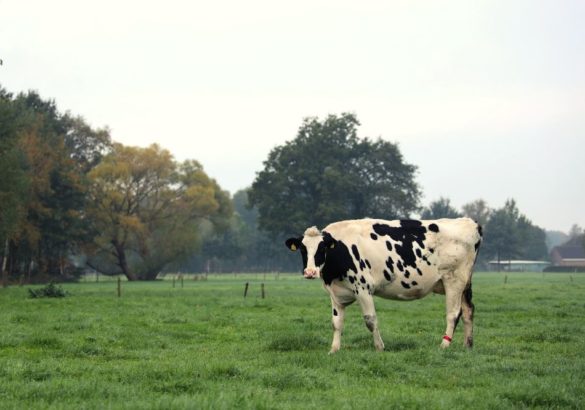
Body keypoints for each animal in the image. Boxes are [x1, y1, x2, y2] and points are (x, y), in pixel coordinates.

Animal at [286, 216, 482, 354]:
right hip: (465, 283)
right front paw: (334, 350)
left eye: (322, 248)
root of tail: (469, 221)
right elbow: (336, 322)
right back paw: (467, 345)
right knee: (468, 311)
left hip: (454, 280)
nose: (310, 272)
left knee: (453, 314)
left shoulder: (363, 288)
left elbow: (370, 320)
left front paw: (380, 347)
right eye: (303, 249)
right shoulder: (336, 293)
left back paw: (444, 345)